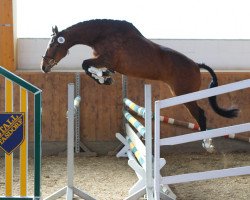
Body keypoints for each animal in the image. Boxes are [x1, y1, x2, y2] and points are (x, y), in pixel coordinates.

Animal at [41, 18, 238, 151]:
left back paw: (207, 144)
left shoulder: (107, 59)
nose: (44, 66)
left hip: (184, 94)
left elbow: (85, 64)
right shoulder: (105, 61)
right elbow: (90, 68)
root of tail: (196, 65)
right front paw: (105, 77)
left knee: (201, 114)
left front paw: (104, 78)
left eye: (53, 45)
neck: (102, 34)